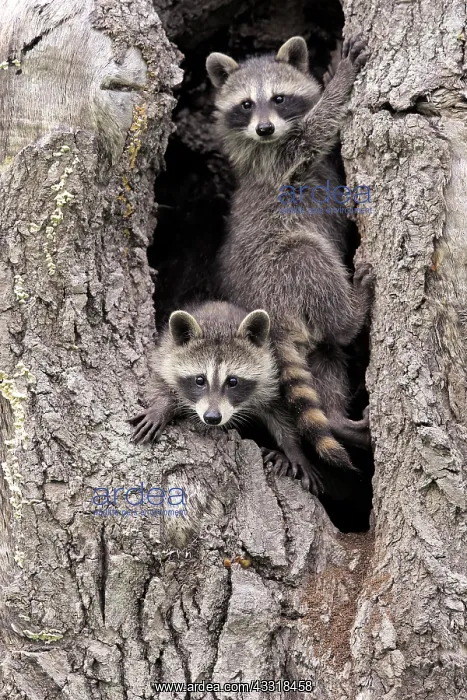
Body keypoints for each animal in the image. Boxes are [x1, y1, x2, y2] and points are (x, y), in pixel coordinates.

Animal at [130, 300, 353, 493]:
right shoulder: (165, 355)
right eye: (200, 380)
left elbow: (280, 411)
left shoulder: (270, 375)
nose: (212, 418)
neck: (218, 324)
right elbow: (159, 382)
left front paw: (293, 448)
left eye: (233, 381)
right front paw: (161, 407)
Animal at [206, 36, 373, 472]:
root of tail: (268, 309)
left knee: (327, 356)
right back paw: (353, 313)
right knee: (310, 257)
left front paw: (329, 72)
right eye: (246, 104)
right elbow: (317, 129)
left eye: (279, 99)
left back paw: (336, 418)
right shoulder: (279, 159)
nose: (264, 127)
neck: (265, 141)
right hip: (283, 265)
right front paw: (341, 80)